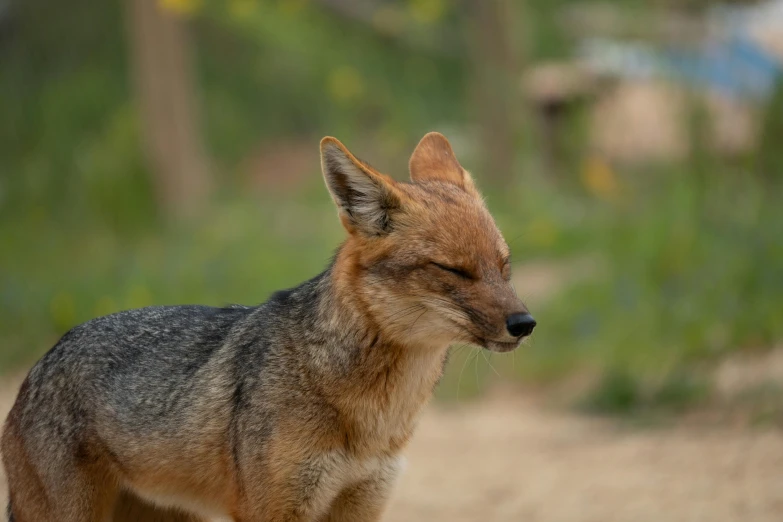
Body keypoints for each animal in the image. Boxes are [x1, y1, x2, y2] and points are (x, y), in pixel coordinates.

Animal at [0, 133, 536, 520]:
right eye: (454, 270)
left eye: (504, 266)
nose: (525, 323)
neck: (373, 417)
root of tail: (40, 363)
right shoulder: (273, 510)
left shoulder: (361, 504)